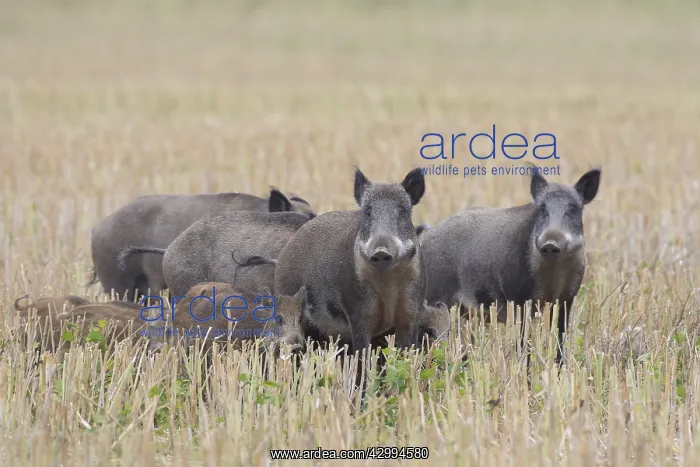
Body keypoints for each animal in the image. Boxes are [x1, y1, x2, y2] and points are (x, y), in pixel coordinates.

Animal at [273, 167, 428, 378]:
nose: (381, 251)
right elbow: (362, 360)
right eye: (368, 211)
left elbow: (408, 357)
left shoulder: (411, 312)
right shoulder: (358, 312)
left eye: (402, 211)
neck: (388, 283)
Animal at [419, 168, 601, 365]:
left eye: (573, 208)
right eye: (543, 208)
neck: (554, 273)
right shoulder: (520, 300)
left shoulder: (567, 299)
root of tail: (427, 233)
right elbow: (524, 342)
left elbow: (561, 340)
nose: (550, 243)